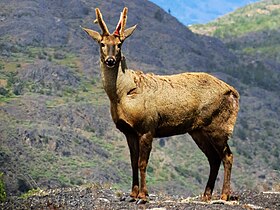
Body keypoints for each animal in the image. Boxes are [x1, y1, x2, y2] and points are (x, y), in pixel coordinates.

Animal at [82, 6, 240, 203]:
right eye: (102, 43)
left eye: (120, 44)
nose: (110, 60)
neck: (123, 94)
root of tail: (233, 92)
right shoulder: (128, 131)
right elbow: (133, 162)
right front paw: (132, 194)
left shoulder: (148, 126)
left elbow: (142, 163)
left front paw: (143, 195)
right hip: (198, 130)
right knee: (214, 158)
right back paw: (206, 195)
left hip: (218, 125)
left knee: (227, 155)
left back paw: (225, 194)